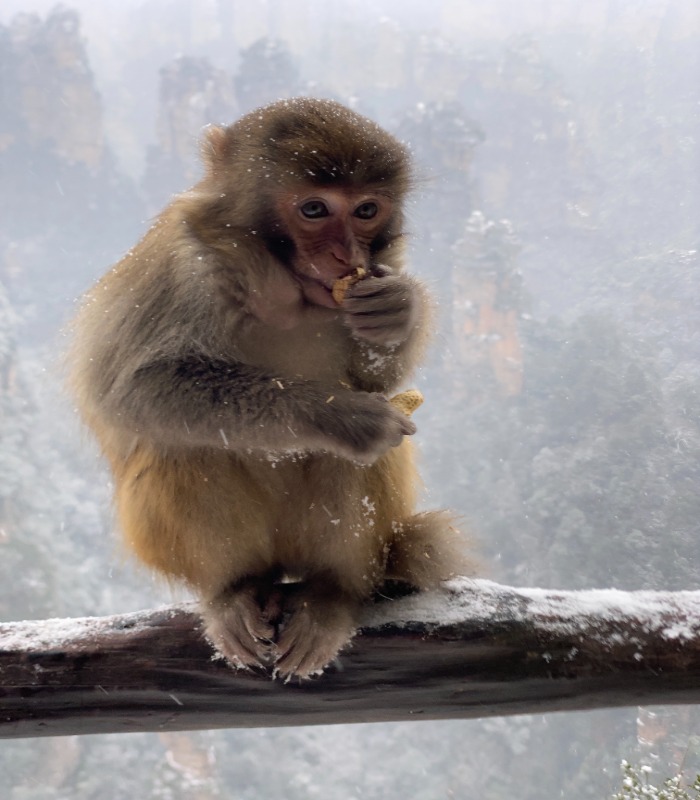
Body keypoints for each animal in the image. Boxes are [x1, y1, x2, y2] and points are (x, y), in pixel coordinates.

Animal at [69, 97, 470, 678]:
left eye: (366, 210)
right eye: (315, 209)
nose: (346, 255)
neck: (287, 292)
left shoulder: (382, 265)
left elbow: (382, 383)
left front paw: (399, 310)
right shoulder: (184, 268)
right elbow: (135, 389)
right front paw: (339, 415)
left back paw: (331, 593)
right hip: (171, 545)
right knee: (185, 443)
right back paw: (233, 592)